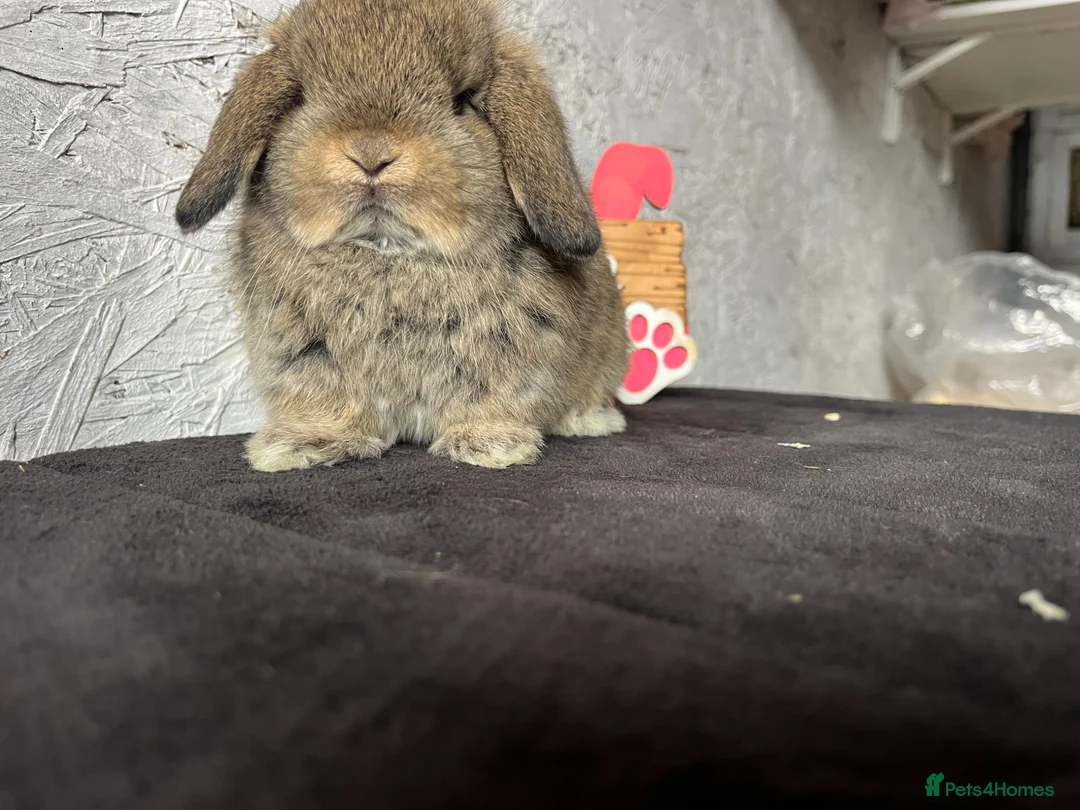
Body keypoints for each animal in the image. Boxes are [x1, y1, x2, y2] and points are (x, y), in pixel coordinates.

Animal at [174, 0, 630, 471]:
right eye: (299, 98)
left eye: (462, 102)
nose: (371, 154)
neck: (387, 253)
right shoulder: (306, 357)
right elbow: (323, 403)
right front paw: (302, 445)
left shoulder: (513, 355)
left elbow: (493, 401)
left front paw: (489, 446)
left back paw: (590, 419)